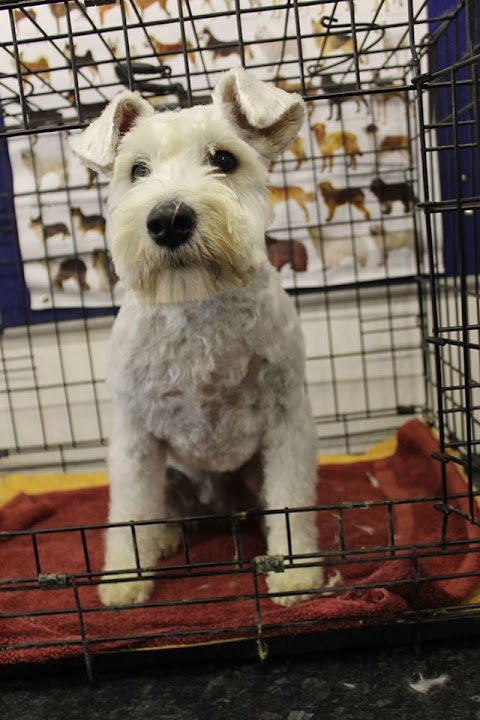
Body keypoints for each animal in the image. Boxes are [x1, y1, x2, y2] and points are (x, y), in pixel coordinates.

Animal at [69, 67, 324, 608]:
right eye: (137, 170)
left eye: (224, 159)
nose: (167, 220)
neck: (198, 305)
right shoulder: (135, 435)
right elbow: (129, 511)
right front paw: (124, 581)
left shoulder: (287, 419)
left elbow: (292, 496)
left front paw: (294, 573)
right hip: (168, 473)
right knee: (161, 510)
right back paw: (164, 537)